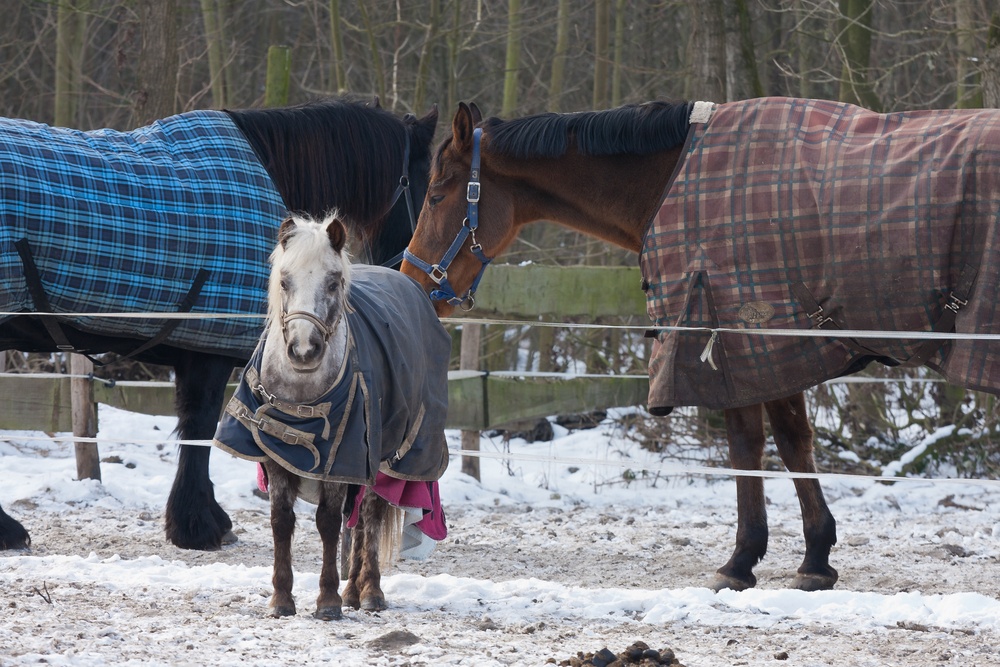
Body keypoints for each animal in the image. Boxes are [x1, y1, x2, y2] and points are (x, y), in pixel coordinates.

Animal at [212, 213, 450, 619]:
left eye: (333, 282)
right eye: (284, 280)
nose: (303, 350)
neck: (303, 400)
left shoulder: (341, 459)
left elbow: (328, 522)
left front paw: (327, 600)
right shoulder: (276, 457)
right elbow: (281, 522)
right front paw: (281, 599)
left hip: (386, 461)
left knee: (368, 516)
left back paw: (368, 592)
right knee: (356, 521)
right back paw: (353, 590)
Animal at [402, 98, 1000, 591]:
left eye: (435, 193)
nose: (411, 280)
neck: (675, 177)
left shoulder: (736, 338)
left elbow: (750, 447)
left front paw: (744, 562)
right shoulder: (774, 351)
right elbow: (793, 445)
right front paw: (815, 557)